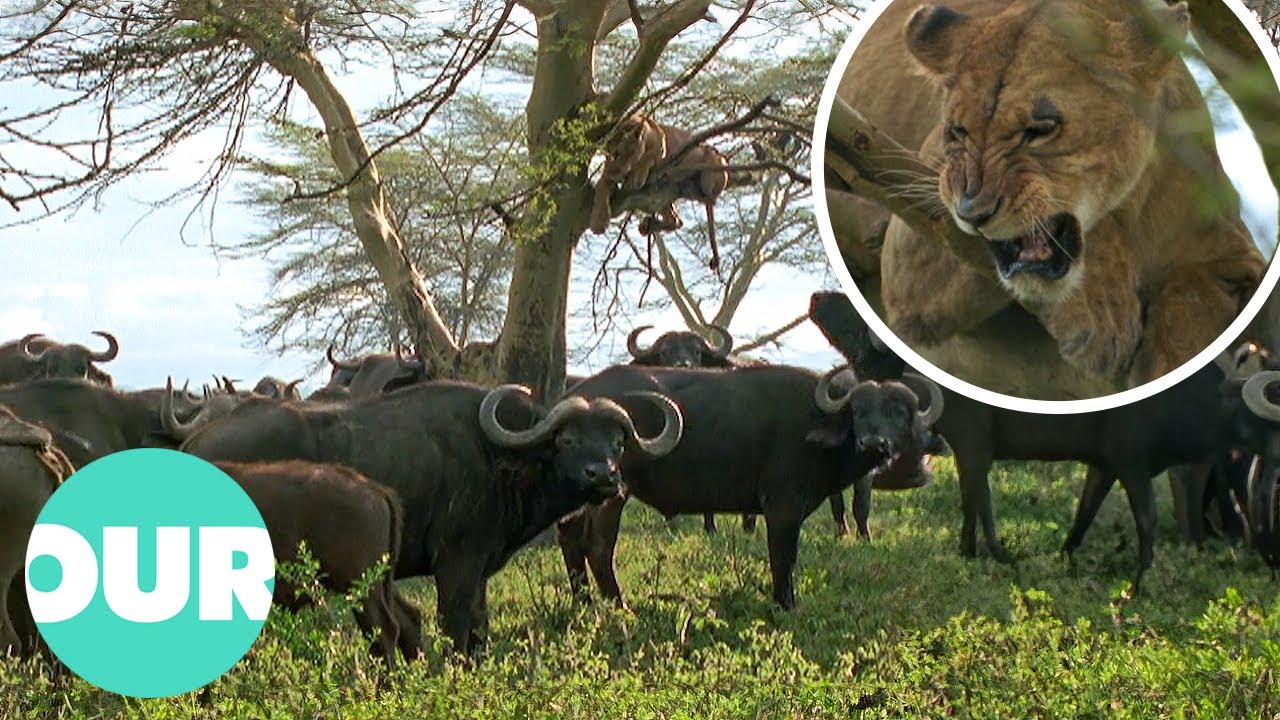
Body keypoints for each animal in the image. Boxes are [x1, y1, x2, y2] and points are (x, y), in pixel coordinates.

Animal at [560, 363, 943, 609]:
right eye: (859, 411)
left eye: (898, 412)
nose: (873, 443)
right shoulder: (782, 505)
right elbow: (783, 556)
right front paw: (785, 604)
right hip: (612, 494)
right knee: (598, 547)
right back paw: (620, 607)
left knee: (572, 543)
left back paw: (584, 603)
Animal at [831, 0, 1268, 399]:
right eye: (957, 131)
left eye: (1041, 129)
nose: (973, 213)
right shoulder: (913, 246)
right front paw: (1101, 311)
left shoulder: (1238, 256)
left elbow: (1194, 297)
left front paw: (1167, 367)